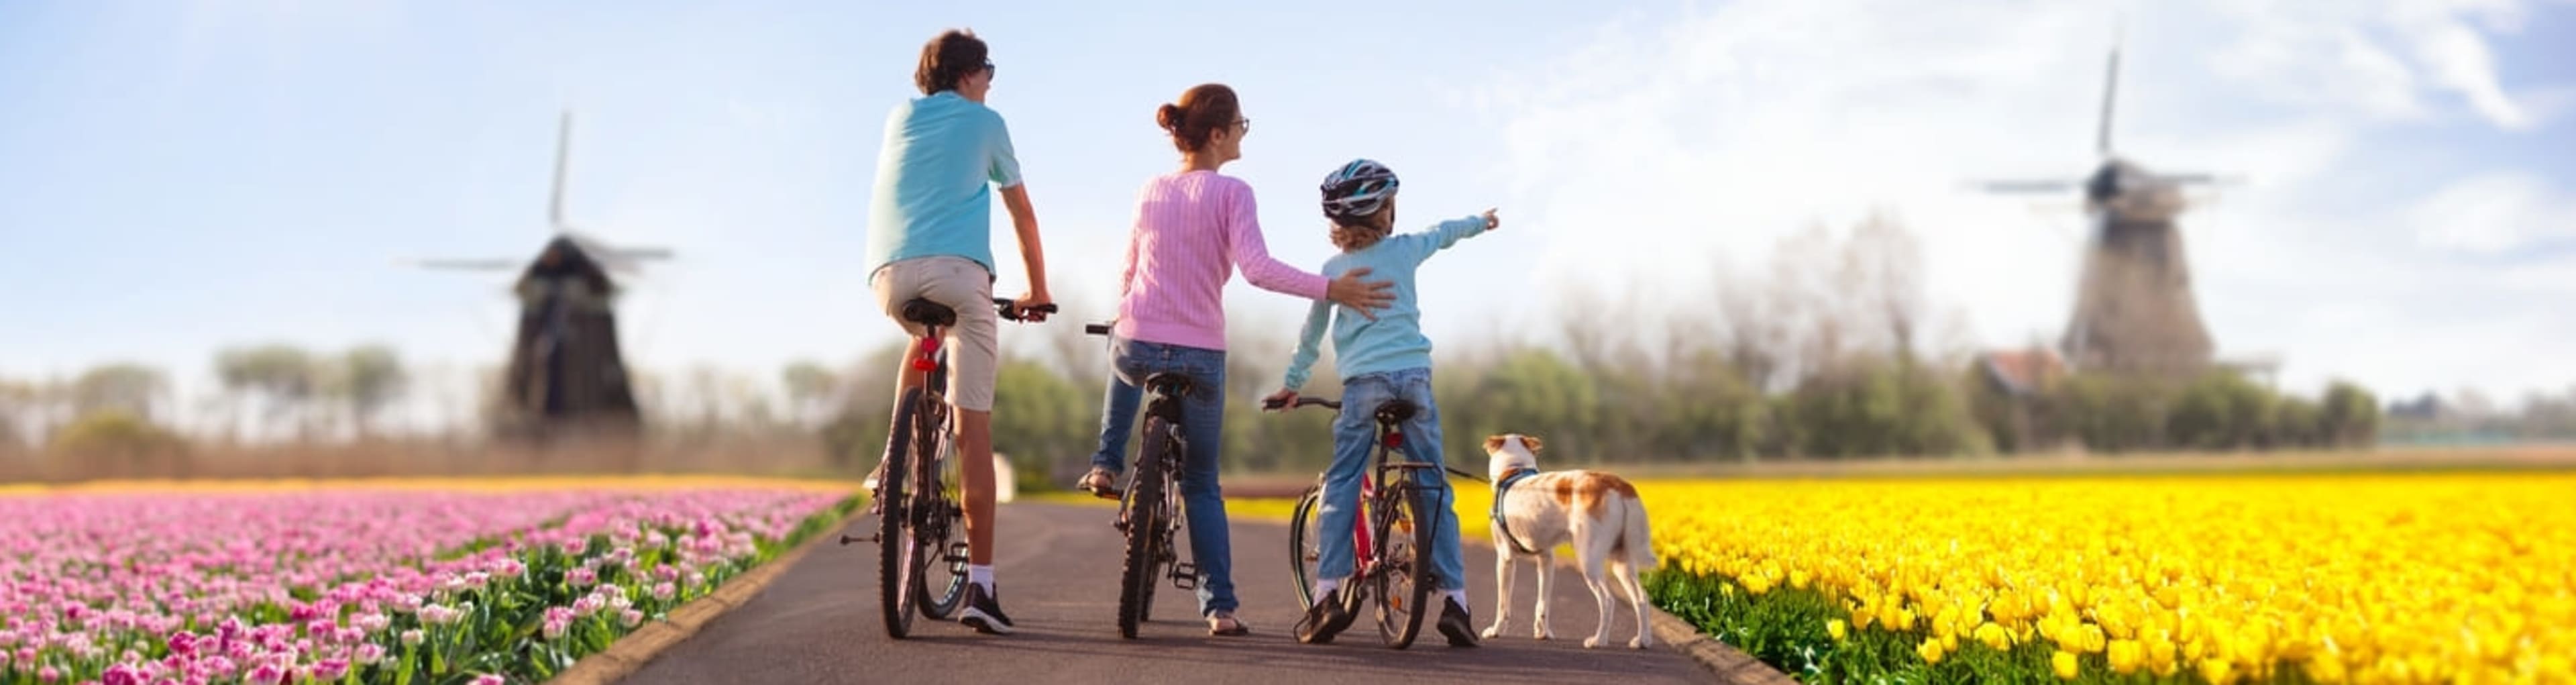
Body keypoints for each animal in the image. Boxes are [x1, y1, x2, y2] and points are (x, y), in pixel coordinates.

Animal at [1483, 432, 1658, 646]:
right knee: (1641, 598)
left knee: (1607, 600)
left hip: (1589, 561)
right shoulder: (1547, 560)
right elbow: (1543, 603)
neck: (1514, 469)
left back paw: (1599, 640)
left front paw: (1496, 631)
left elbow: (1503, 604)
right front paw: (1543, 633)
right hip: (1622, 563)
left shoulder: (1505, 559)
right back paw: (1643, 640)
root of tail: (1617, 484)